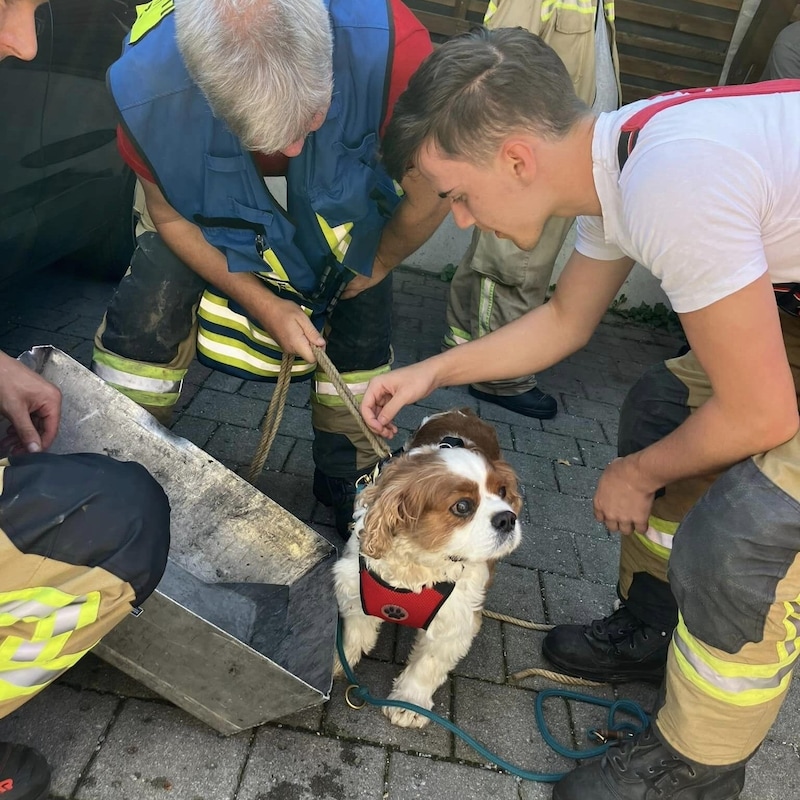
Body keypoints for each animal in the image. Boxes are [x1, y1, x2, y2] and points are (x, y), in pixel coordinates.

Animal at [334, 410, 520, 728]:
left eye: (503, 491)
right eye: (462, 506)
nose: (508, 518)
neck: (420, 564)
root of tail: (464, 412)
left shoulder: (456, 619)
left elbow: (427, 665)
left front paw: (409, 703)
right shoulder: (357, 589)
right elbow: (355, 634)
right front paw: (334, 661)